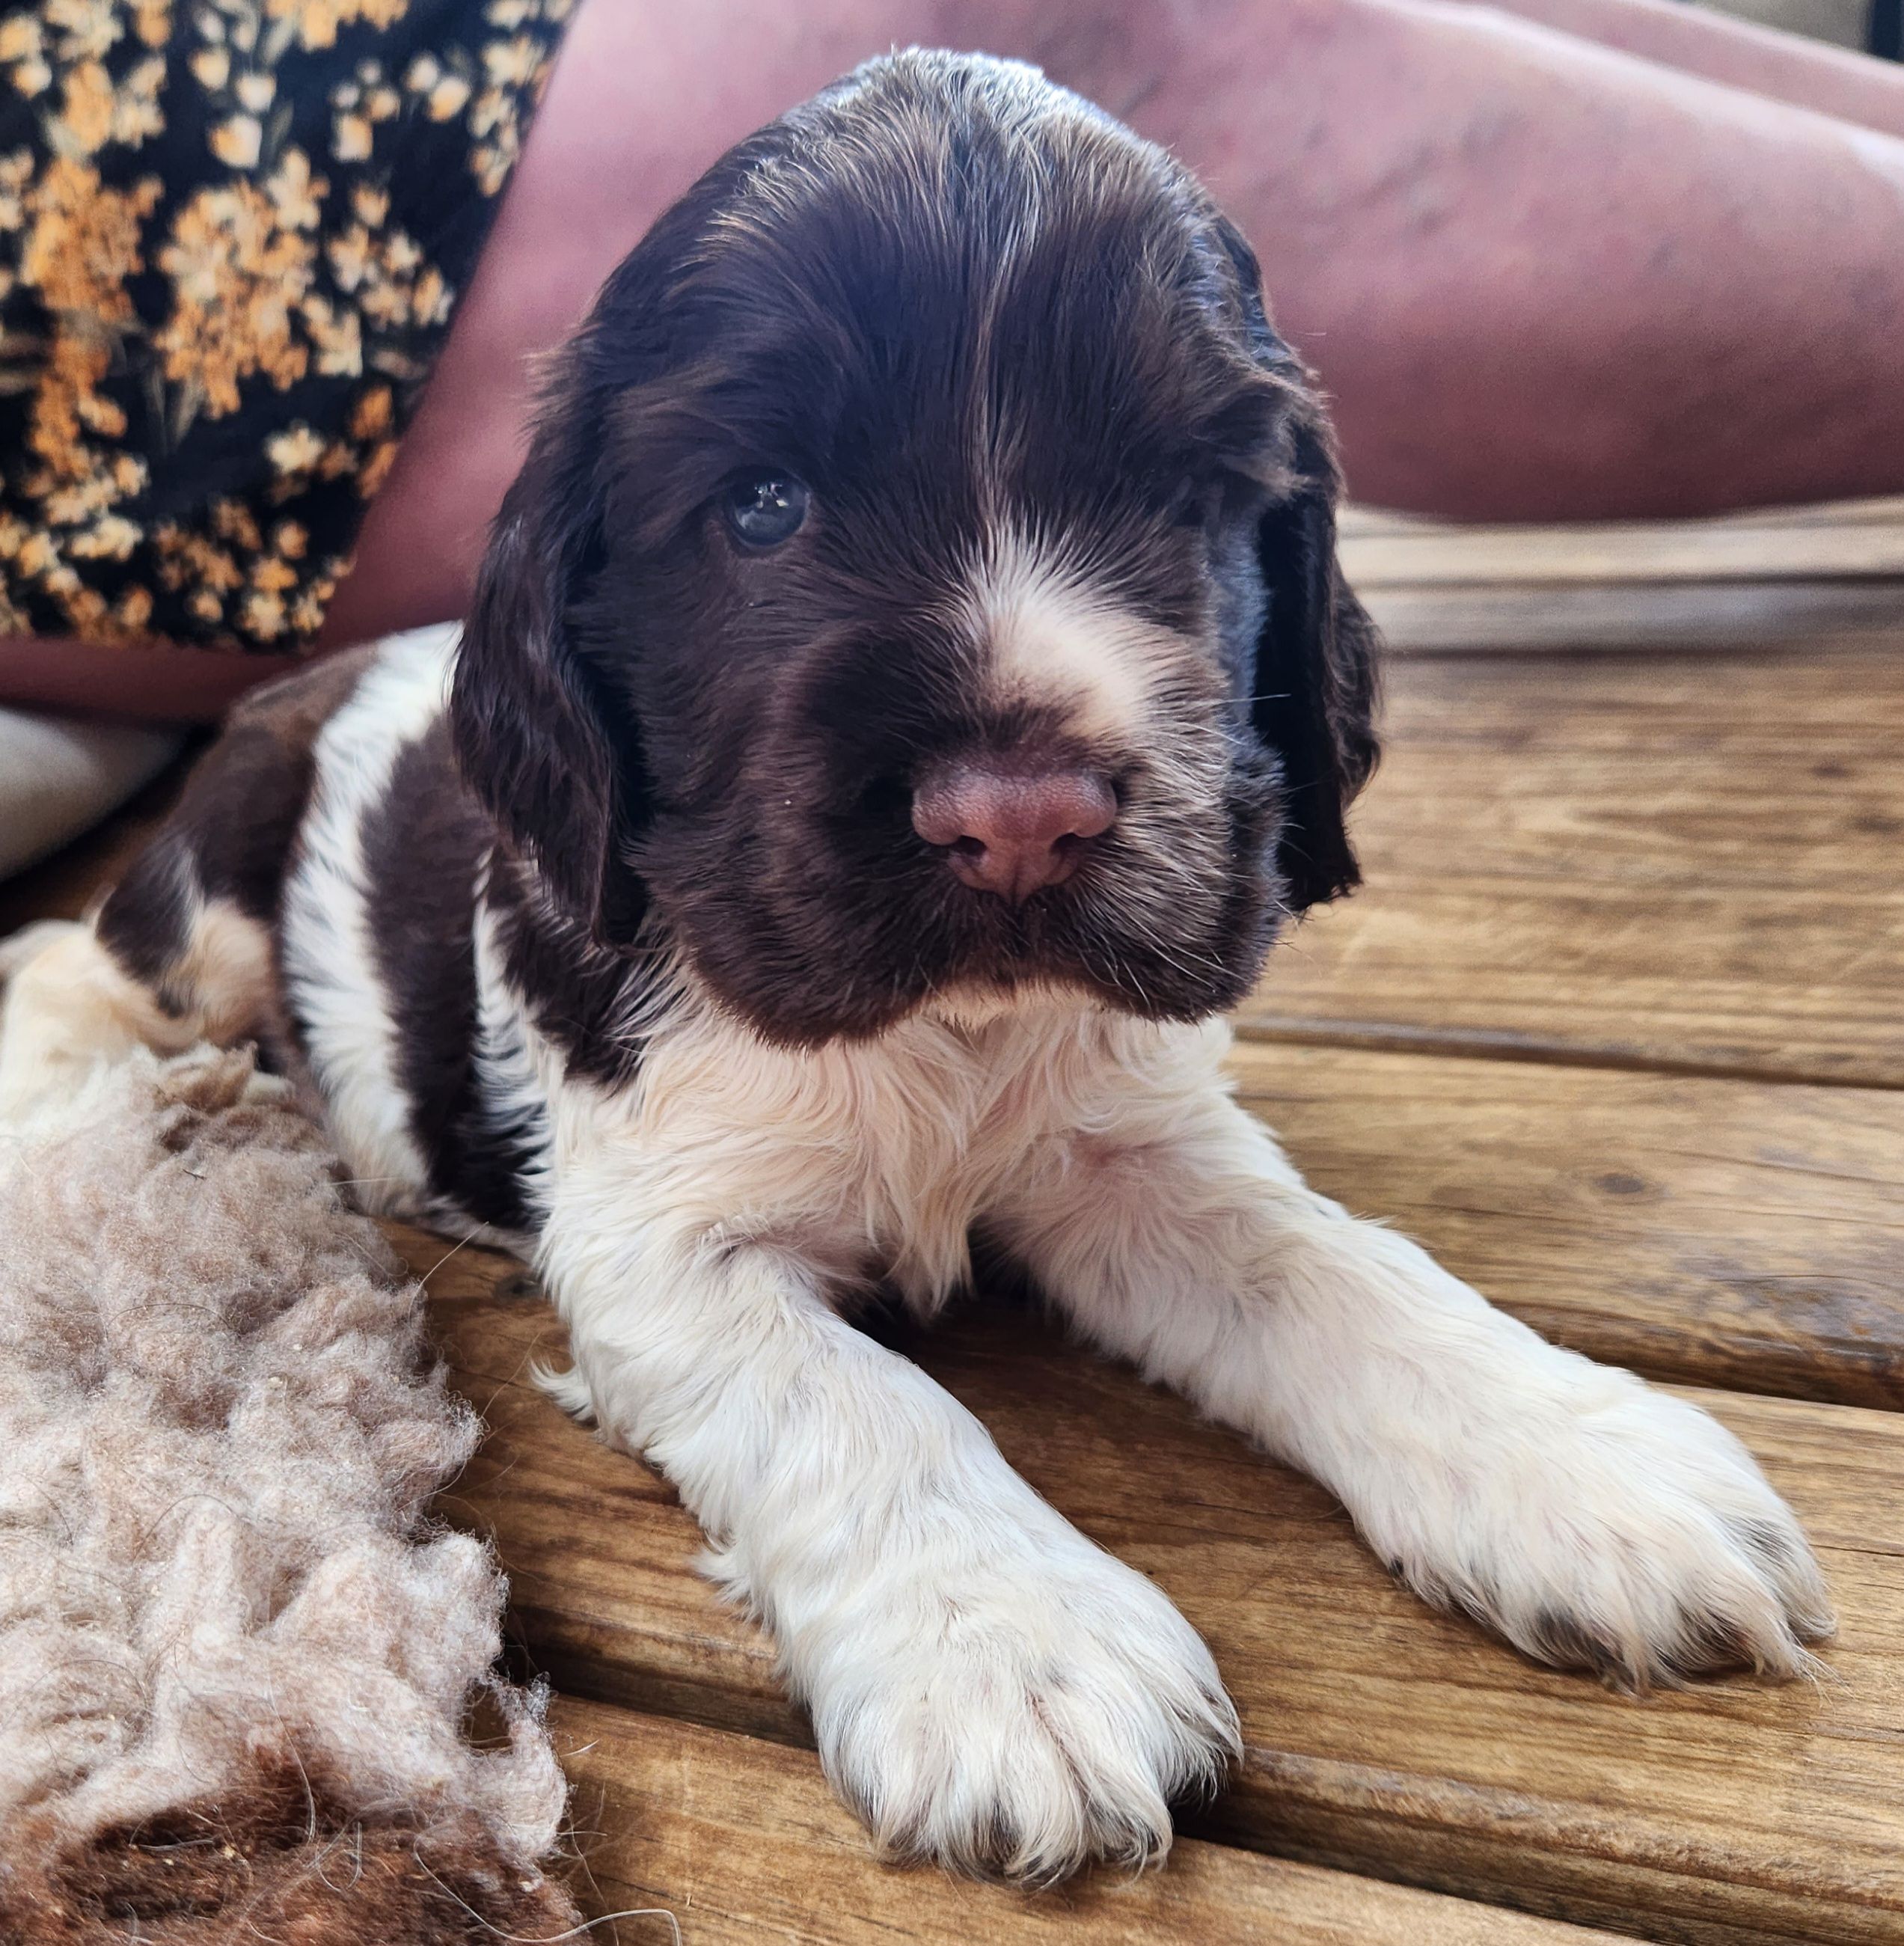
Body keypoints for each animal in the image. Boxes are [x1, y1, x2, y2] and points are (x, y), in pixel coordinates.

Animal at [0, 53, 1822, 1891]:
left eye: (1179, 501)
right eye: (762, 506)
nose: (1020, 818)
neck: (948, 1035)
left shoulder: (1133, 1145)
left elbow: (1325, 1263)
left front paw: (1574, 1458)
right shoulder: (661, 1240)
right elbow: (851, 1398)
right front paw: (1014, 1644)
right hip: (215, 891)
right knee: (79, 958)